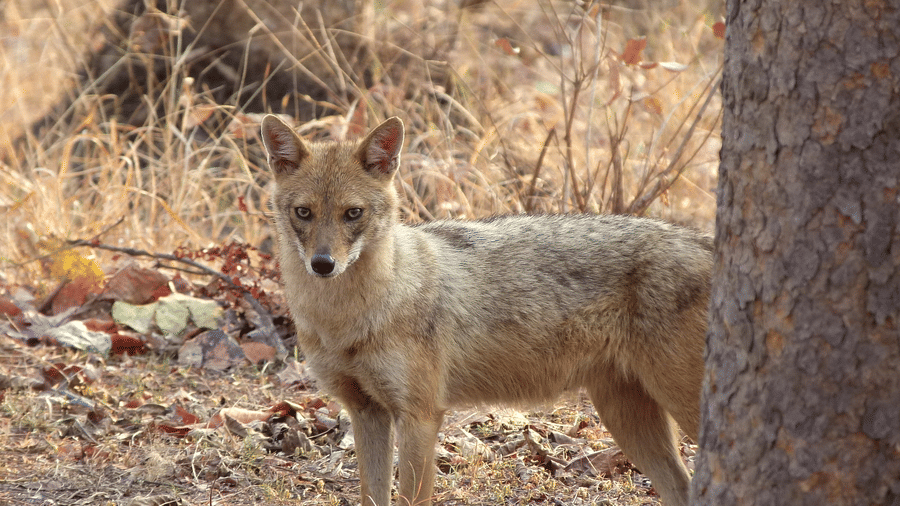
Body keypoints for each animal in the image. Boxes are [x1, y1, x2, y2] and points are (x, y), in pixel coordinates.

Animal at [259, 114, 712, 506]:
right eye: (304, 213)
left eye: (353, 213)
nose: (322, 264)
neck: (347, 319)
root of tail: (705, 240)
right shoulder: (366, 413)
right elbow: (372, 496)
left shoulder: (421, 418)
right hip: (627, 419)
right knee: (682, 488)